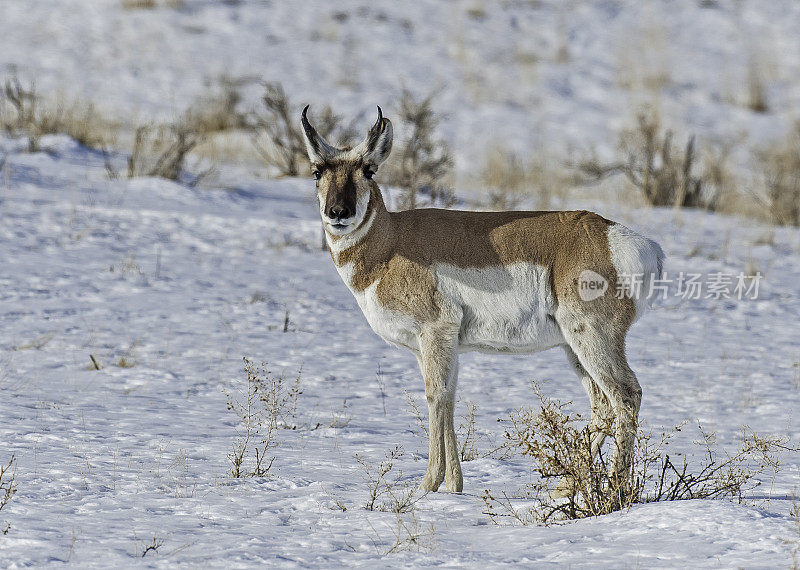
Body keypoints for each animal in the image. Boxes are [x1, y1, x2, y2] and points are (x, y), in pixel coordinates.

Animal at [300, 106, 664, 492]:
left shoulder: (435, 332)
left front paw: (427, 486)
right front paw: (454, 488)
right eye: (317, 171)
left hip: (593, 338)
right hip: (573, 347)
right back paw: (565, 489)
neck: (391, 240)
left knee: (626, 395)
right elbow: (449, 397)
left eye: (368, 170)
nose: (338, 213)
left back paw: (613, 493)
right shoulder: (436, 347)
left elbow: (435, 396)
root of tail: (627, 240)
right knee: (602, 406)